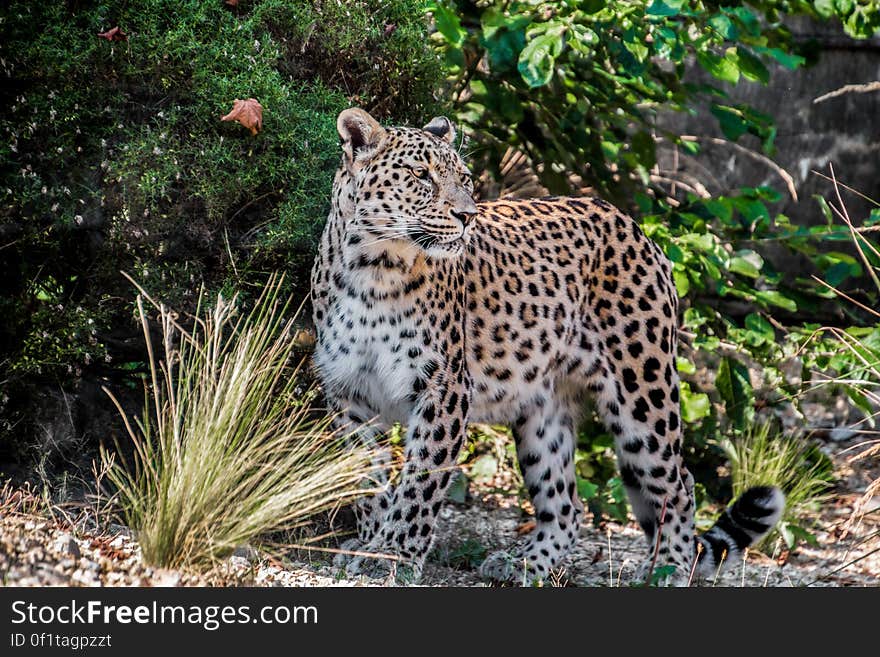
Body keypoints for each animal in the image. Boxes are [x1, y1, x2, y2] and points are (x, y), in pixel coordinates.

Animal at [312, 107, 784, 584]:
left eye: (464, 178)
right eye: (420, 175)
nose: (467, 215)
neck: (374, 268)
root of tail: (633, 225)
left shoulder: (443, 389)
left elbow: (421, 480)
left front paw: (395, 554)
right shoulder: (349, 392)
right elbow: (363, 480)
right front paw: (369, 543)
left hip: (643, 395)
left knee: (679, 485)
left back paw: (667, 567)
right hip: (543, 409)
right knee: (566, 505)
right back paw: (523, 562)